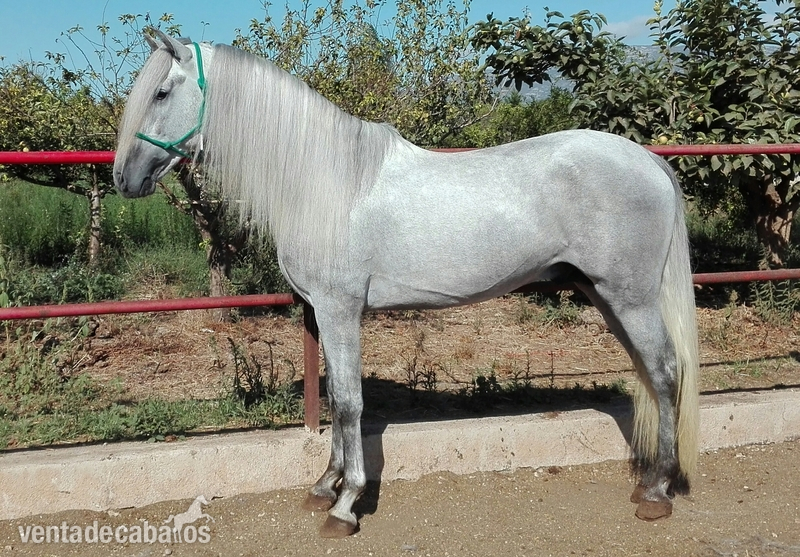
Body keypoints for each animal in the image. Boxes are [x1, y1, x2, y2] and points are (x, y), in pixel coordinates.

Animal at [114, 29, 699, 538]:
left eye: (162, 91)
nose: (123, 177)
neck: (327, 183)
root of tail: (648, 160)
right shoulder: (325, 313)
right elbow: (335, 397)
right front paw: (325, 486)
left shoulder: (340, 310)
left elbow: (351, 402)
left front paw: (346, 505)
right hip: (604, 296)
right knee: (651, 373)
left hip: (630, 297)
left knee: (666, 370)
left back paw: (657, 491)